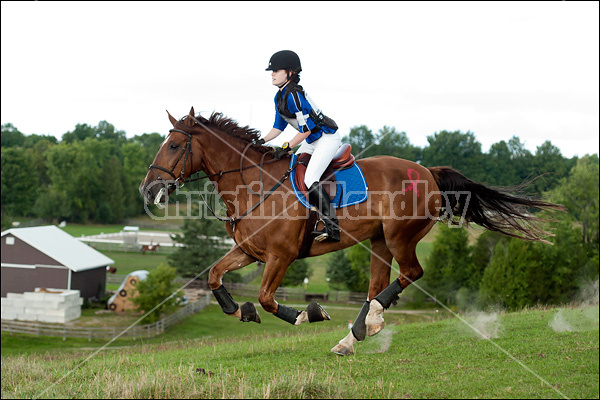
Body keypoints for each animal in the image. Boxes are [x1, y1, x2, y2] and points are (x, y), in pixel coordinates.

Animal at [138, 108, 564, 354]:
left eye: (173, 145)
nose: (148, 188)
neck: (253, 184)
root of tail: (428, 171)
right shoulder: (250, 251)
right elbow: (214, 276)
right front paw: (237, 309)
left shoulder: (281, 256)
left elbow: (267, 299)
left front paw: (308, 313)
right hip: (378, 241)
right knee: (377, 286)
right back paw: (355, 333)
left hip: (399, 236)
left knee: (410, 274)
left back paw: (363, 326)